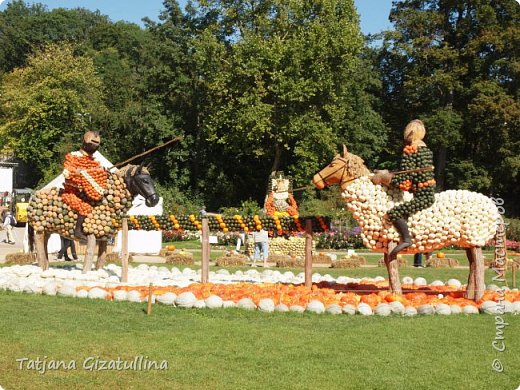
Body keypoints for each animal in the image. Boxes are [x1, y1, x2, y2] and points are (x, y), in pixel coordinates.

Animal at [312, 146, 500, 302]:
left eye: (333, 164)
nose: (315, 180)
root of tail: (492, 206)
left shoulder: (392, 242)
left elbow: (392, 266)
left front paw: (396, 295)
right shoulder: (385, 244)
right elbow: (389, 269)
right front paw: (391, 293)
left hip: (474, 238)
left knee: (479, 264)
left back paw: (478, 299)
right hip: (468, 242)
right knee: (473, 265)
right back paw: (468, 296)